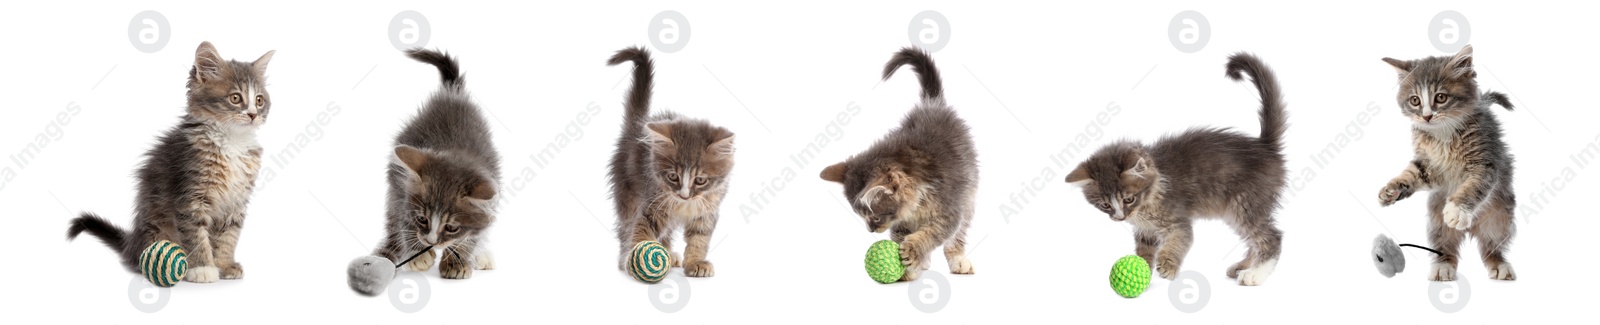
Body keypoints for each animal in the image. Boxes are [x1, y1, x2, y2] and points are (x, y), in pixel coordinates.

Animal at [66, 41, 275, 283]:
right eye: (235, 98)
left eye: (259, 100)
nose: (252, 114)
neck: (232, 141)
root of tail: (131, 244)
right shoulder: (190, 196)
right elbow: (196, 236)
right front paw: (203, 268)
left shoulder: (235, 202)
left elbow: (228, 236)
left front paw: (224, 265)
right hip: (155, 227)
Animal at [371, 49, 502, 278]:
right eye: (422, 219)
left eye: (451, 228)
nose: (430, 241)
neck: (455, 152)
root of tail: (452, 93)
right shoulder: (402, 189)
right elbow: (404, 220)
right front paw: (418, 254)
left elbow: (474, 234)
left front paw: (457, 261)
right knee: (393, 222)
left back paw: (482, 255)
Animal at [604, 47, 736, 278]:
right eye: (673, 176)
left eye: (700, 180)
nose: (684, 195)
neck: (686, 204)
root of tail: (637, 125)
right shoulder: (653, 203)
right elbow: (641, 229)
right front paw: (634, 258)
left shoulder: (707, 209)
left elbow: (699, 237)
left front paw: (696, 262)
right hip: (628, 194)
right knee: (626, 227)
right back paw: (625, 258)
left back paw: (668, 252)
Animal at [1369, 43, 1516, 281]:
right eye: (1415, 100)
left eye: (1440, 98)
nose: (1427, 116)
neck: (1443, 134)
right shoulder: (1430, 167)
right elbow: (1411, 173)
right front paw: (1391, 191)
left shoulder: (1485, 161)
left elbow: (1473, 186)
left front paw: (1457, 210)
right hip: (1436, 221)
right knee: (1445, 246)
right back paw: (1442, 266)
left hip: (1500, 217)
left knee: (1490, 246)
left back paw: (1499, 264)